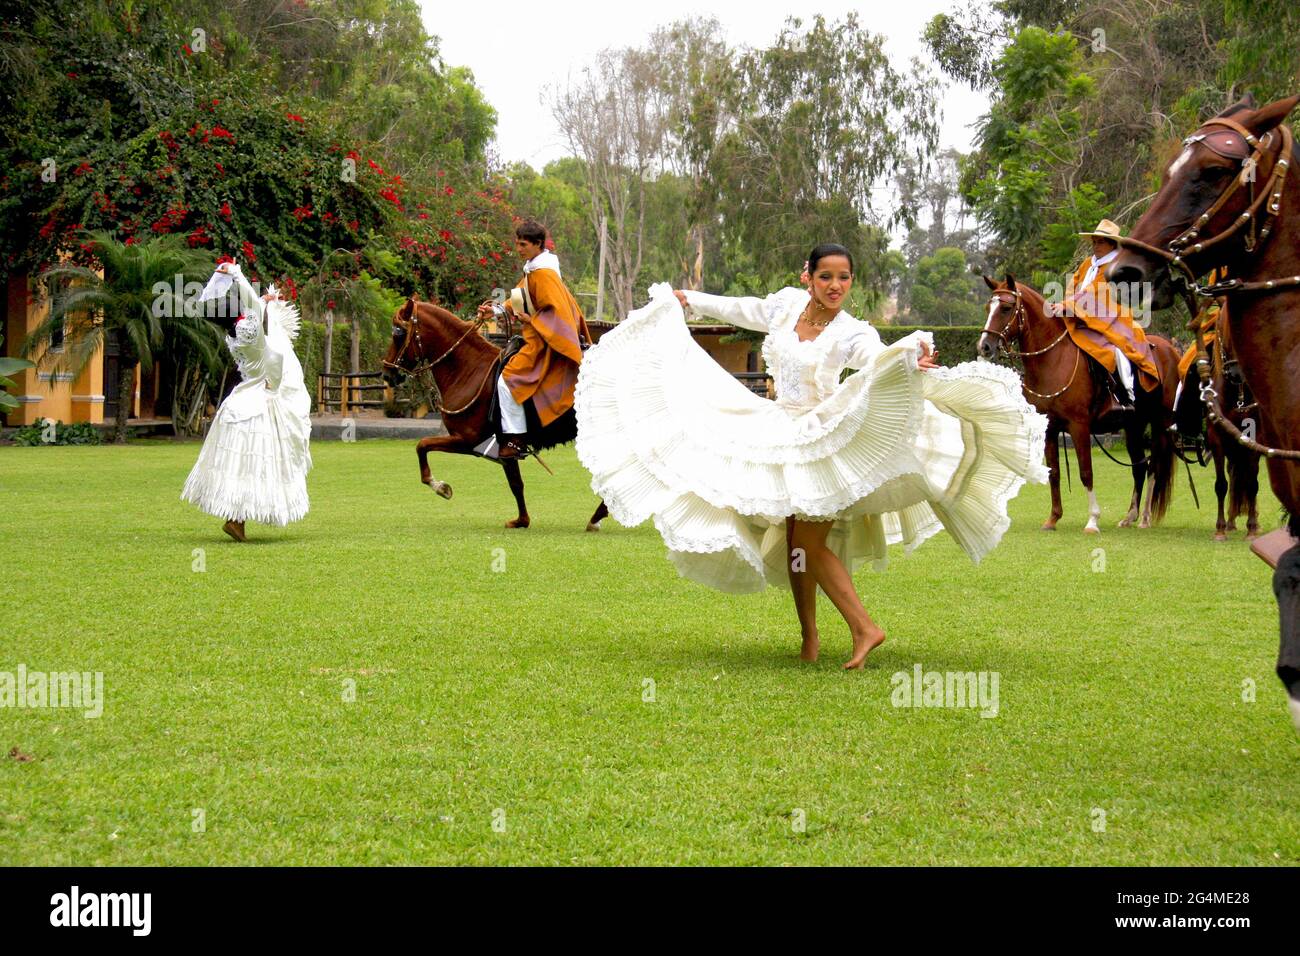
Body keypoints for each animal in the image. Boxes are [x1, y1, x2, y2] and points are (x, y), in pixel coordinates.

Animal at [379, 297, 608, 530]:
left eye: (398, 332)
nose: (387, 374)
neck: (469, 370)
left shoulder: (468, 440)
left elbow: (422, 445)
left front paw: (440, 487)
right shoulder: (504, 447)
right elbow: (515, 483)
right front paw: (522, 520)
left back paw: (597, 517)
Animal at [977, 274, 1180, 530]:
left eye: (1005, 308)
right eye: (988, 307)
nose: (984, 346)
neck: (1053, 361)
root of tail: (1170, 349)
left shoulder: (1079, 426)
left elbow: (1086, 472)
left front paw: (1093, 520)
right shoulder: (1050, 429)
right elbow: (1054, 473)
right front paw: (1053, 518)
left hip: (1160, 423)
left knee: (1154, 466)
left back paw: (1144, 517)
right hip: (1134, 425)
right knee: (1140, 466)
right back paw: (1130, 516)